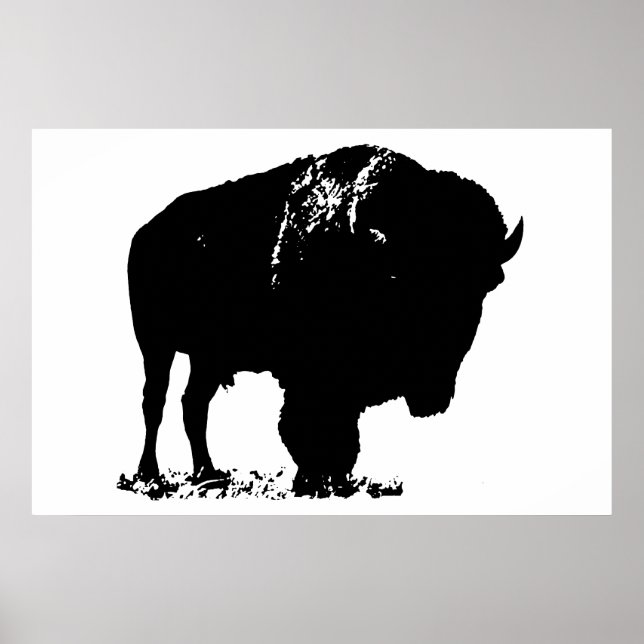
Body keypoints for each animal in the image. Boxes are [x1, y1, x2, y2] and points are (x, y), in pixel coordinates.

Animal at [128, 144, 523, 496]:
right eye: (401, 279)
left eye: (483, 285)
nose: (432, 394)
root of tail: (145, 234)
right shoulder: (310, 375)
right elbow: (307, 427)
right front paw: (313, 482)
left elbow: (342, 432)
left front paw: (333, 480)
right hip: (155, 344)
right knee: (154, 402)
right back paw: (150, 475)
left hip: (207, 357)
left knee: (194, 405)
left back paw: (208, 474)